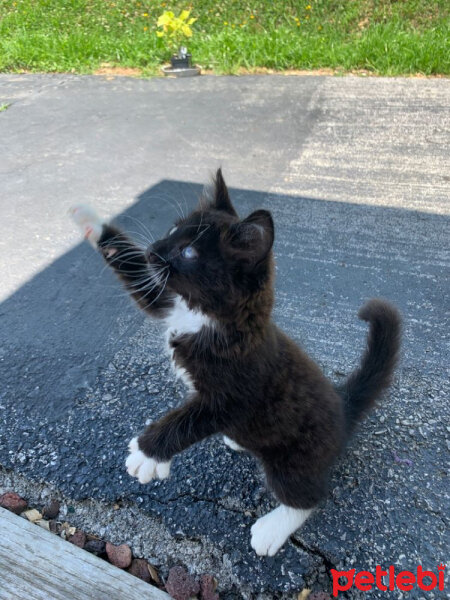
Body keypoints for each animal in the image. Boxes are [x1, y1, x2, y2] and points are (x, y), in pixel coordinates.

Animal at [70, 168, 400, 552]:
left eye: (188, 252)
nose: (154, 250)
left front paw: (147, 455)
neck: (206, 318)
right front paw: (89, 219)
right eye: (172, 230)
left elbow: (187, 420)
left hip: (298, 455)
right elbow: (137, 274)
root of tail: (343, 405)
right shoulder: (167, 300)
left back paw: (272, 529)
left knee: (307, 495)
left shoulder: (233, 393)